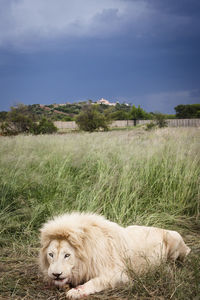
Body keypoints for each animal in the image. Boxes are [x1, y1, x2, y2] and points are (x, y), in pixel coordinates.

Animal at [39, 212, 191, 298]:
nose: (56, 274)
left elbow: (96, 281)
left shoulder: (121, 275)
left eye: (67, 255)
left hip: (175, 238)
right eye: (51, 255)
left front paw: (76, 292)